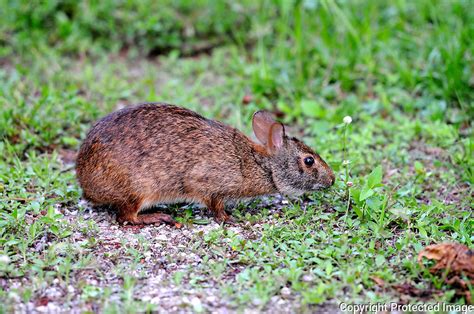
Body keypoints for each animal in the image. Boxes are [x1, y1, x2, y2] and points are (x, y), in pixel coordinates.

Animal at [76, 104, 336, 227]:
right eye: (309, 161)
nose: (332, 179)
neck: (262, 164)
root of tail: (86, 184)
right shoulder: (208, 184)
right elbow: (215, 205)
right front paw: (230, 219)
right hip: (137, 190)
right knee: (126, 216)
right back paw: (159, 217)